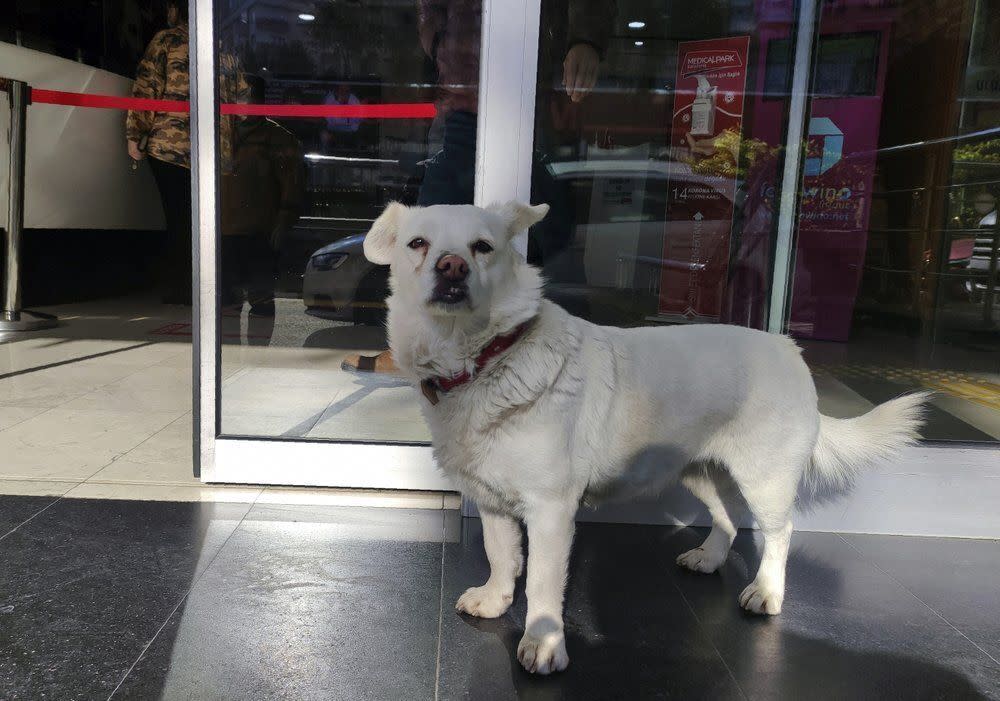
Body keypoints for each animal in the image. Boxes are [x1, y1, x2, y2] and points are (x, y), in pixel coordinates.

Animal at [364, 201, 924, 672]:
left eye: (482, 247)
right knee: (727, 517)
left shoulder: (550, 509)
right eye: (418, 244)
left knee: (779, 533)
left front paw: (543, 644)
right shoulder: (493, 500)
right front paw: (495, 599)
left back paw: (766, 592)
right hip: (698, 471)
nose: (451, 267)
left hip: (764, 478)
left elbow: (542, 583)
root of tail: (790, 348)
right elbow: (502, 556)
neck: (481, 359)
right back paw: (709, 558)